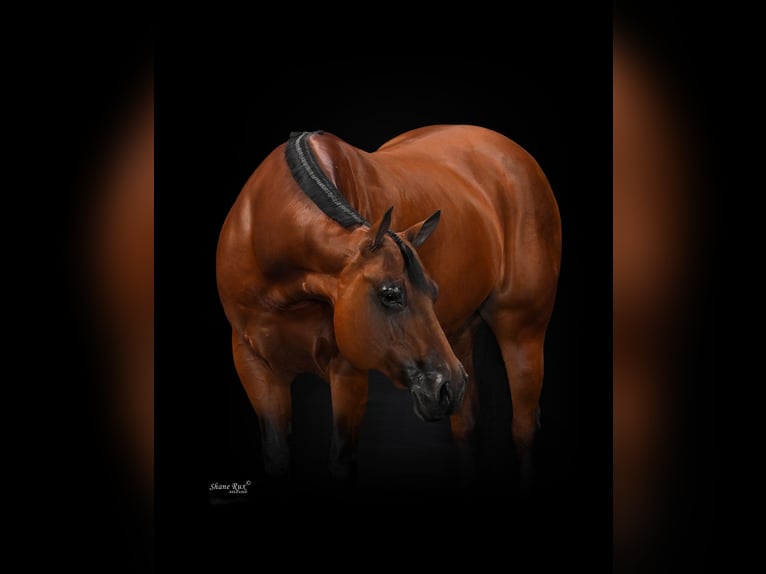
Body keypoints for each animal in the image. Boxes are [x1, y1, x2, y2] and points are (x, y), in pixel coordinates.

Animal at [216, 125, 561, 486]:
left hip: (522, 334)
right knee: (465, 426)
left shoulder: (347, 369)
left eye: (433, 292)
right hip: (459, 336)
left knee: (523, 428)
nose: (447, 385)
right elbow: (276, 458)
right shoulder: (254, 366)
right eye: (390, 294)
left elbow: (341, 460)